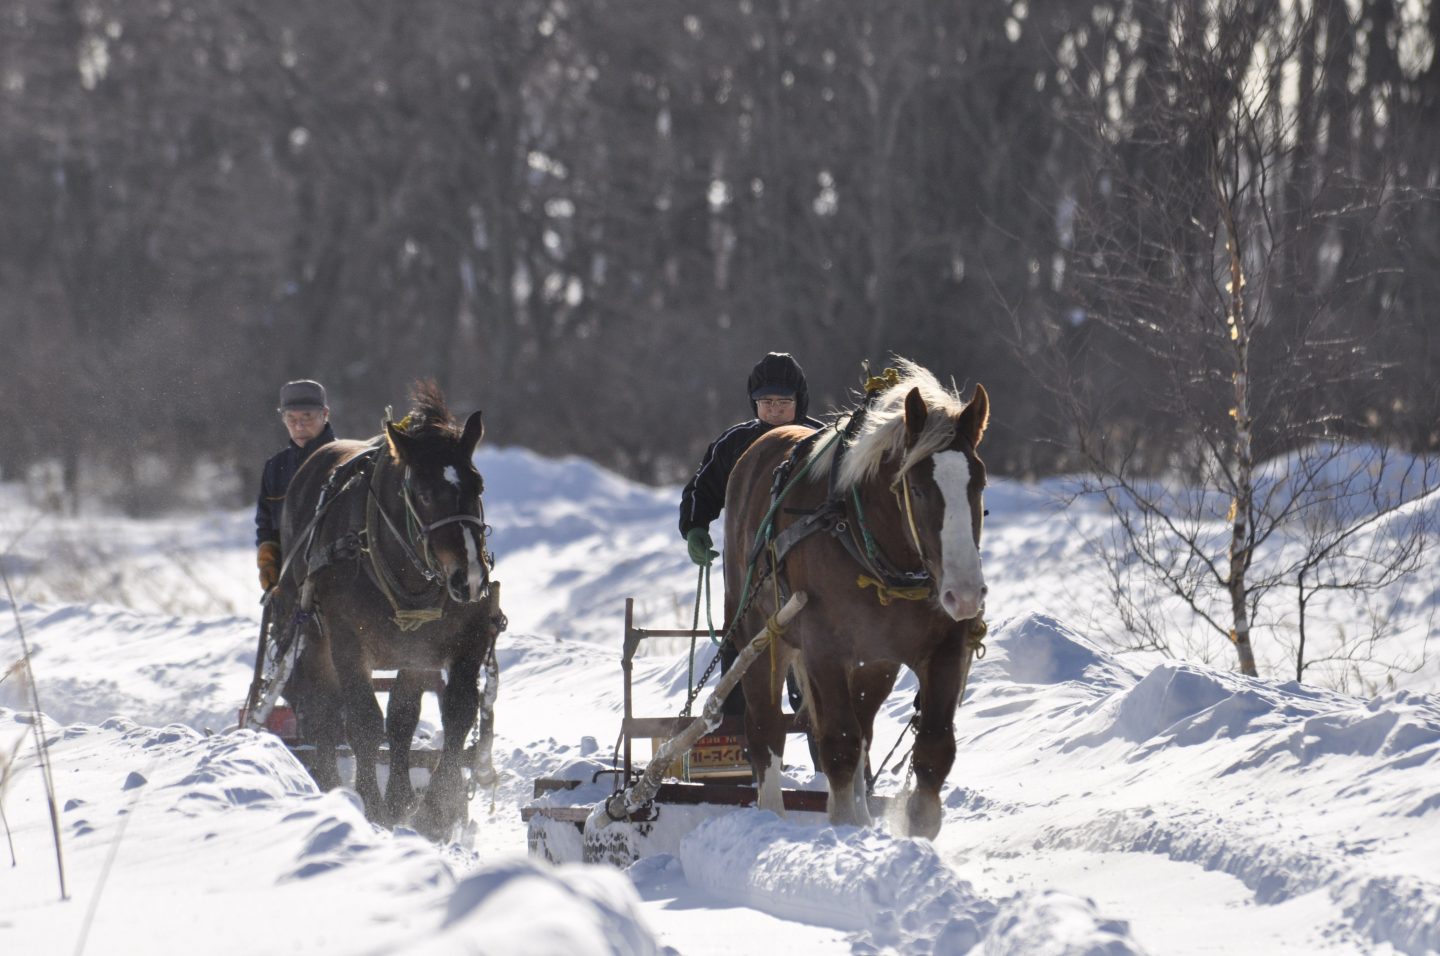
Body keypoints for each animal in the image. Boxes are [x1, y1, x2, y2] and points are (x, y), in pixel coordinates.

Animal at [279, 380, 501, 835]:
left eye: (478, 486)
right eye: (424, 493)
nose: (469, 578)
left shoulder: (451, 640)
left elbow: (446, 714)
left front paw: (434, 807)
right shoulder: (347, 639)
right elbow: (363, 721)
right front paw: (374, 805)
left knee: (399, 718)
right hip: (313, 631)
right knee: (322, 708)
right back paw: (329, 781)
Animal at [725, 358, 984, 835]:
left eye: (978, 484)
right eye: (917, 488)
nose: (965, 594)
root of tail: (762, 442)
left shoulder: (944, 646)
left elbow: (933, 748)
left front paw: (914, 831)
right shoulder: (823, 648)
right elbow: (839, 744)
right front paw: (844, 829)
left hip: (875, 662)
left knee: (864, 730)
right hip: (759, 632)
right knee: (766, 727)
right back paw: (771, 819)